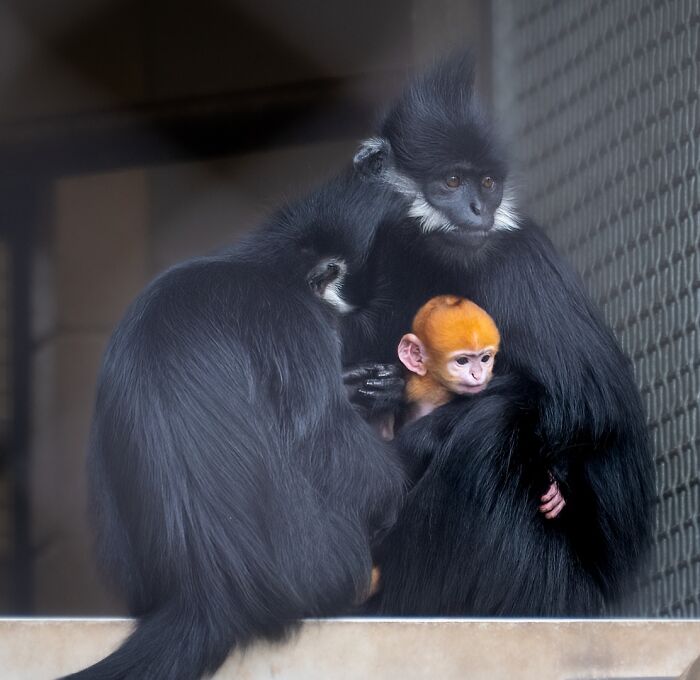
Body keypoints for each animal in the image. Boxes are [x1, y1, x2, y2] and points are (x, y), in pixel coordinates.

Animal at [62, 172, 407, 680]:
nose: (344, 319)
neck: (263, 269)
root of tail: (209, 593)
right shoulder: (295, 325)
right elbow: (335, 452)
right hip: (324, 560)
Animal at [340, 53, 655, 616]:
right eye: (450, 181)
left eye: (487, 183)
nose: (478, 211)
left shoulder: (515, 259)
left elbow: (594, 404)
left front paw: (404, 431)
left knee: (496, 422)